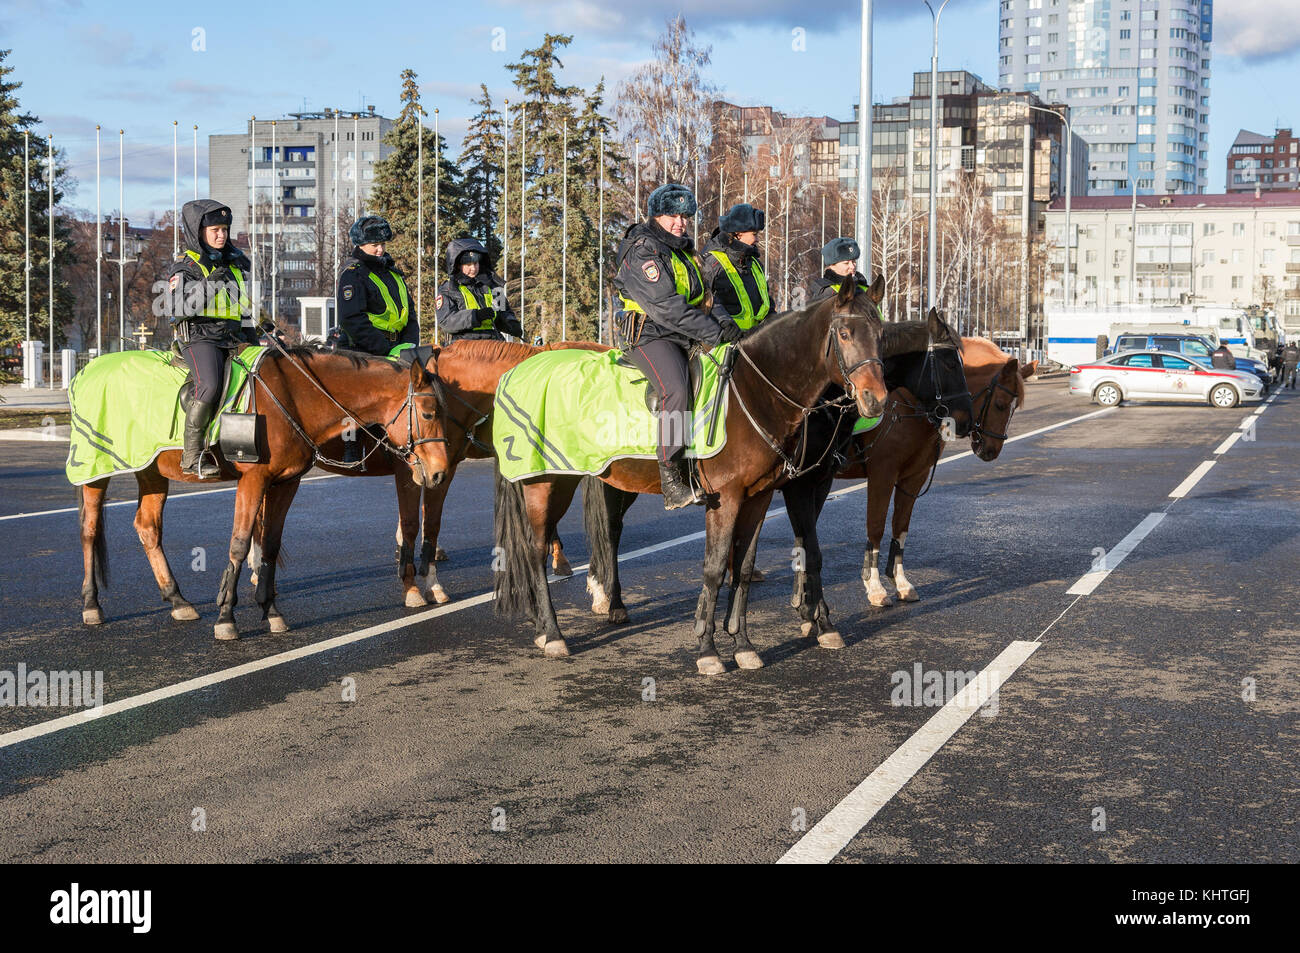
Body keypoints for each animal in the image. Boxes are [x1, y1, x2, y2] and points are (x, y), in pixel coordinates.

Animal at [77, 348, 452, 639]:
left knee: (148, 527)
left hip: (151, 472)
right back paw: (91, 604)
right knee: (90, 530)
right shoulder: (253, 480)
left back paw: (177, 600)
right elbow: (241, 543)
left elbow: (270, 543)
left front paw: (270, 610)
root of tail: (88, 369)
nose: (439, 472)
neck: (293, 396)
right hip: (95, 470)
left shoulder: (285, 483)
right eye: (429, 412)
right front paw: (226, 617)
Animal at [491, 278, 889, 670]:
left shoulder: (759, 497)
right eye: (844, 333)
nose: (876, 400)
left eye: (880, 332)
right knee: (536, 551)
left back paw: (553, 625)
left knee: (585, 538)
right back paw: (554, 634)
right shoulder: (732, 498)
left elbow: (744, 567)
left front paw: (743, 644)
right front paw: (709, 649)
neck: (755, 390)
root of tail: (517, 371)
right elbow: (716, 568)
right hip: (546, 482)